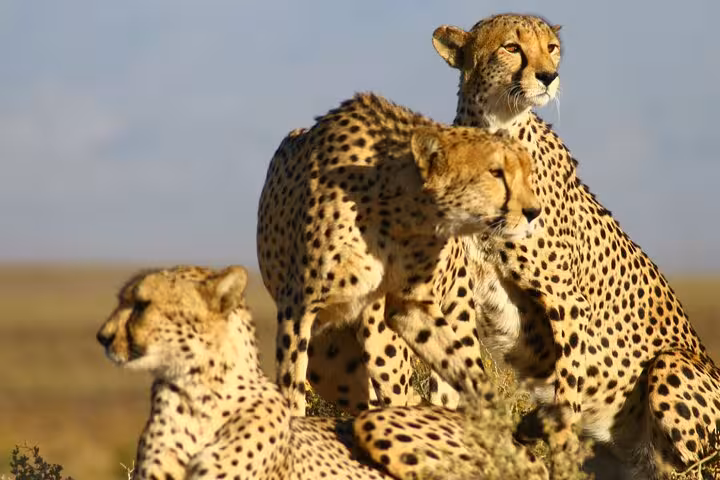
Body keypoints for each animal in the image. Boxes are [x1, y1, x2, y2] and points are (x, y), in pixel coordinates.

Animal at [256, 92, 541, 416]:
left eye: (527, 172)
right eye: (495, 173)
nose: (533, 212)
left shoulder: (408, 306)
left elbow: (461, 366)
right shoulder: (298, 308)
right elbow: (291, 390)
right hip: (330, 363)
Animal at [427, 12, 720, 479]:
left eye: (552, 47)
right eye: (511, 47)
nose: (549, 76)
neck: (496, 133)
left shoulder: (566, 299)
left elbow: (567, 392)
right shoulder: (456, 297)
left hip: (671, 366)